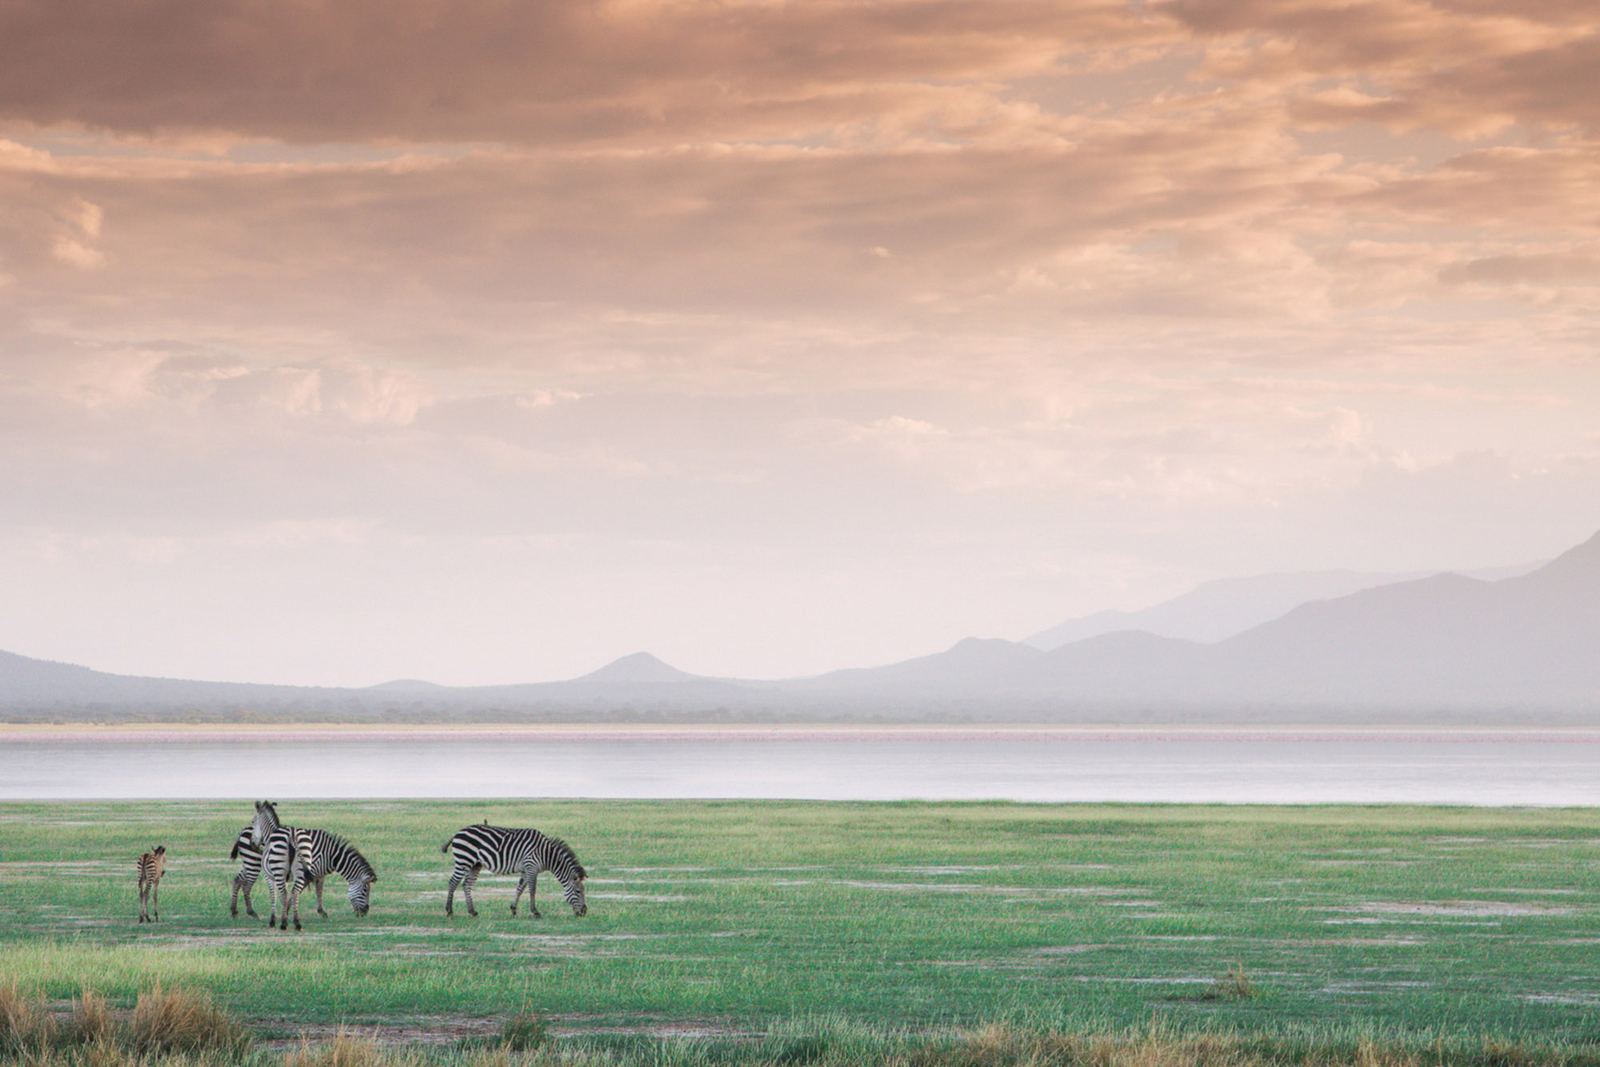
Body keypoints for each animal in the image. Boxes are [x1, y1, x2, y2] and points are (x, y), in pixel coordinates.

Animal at [441, 824, 587, 918]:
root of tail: (457, 833)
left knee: (467, 884)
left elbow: (520, 889)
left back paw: (472, 911)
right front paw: (535, 912)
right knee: (453, 882)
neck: (546, 854)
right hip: (464, 860)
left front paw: (513, 909)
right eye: (578, 891)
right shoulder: (531, 866)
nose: (584, 912)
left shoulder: (525, 869)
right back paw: (449, 911)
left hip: (475, 864)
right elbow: (532, 889)